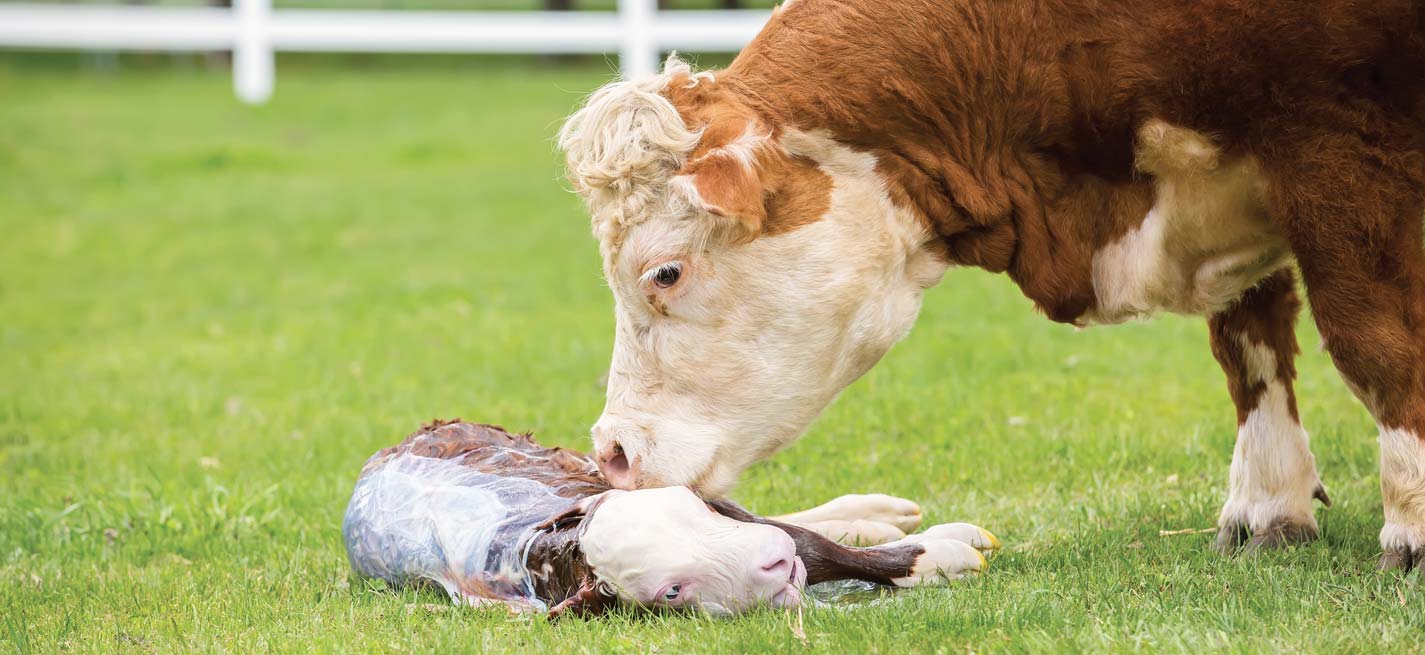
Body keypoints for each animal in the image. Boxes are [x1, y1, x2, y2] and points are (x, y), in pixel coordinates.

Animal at [339, 421, 997, 617]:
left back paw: (875, 513)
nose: (771, 563)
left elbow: (811, 543)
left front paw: (937, 551)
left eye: (690, 509)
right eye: (672, 592)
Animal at [555, 1, 1425, 566]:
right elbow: (1248, 345)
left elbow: (1372, 344)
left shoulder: (1330, 144)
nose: (612, 453)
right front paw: (1270, 503)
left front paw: (1409, 521)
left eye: (664, 271)